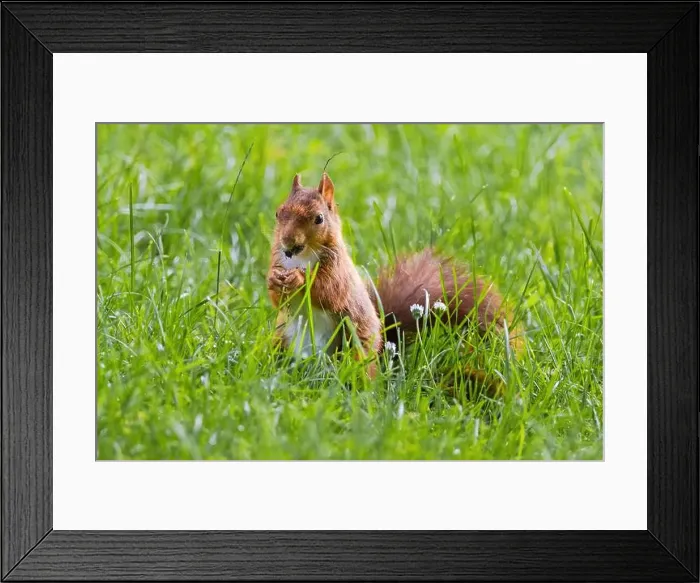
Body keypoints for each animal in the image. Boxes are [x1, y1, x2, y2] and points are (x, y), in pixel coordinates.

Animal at [267, 172, 524, 395]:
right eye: (278, 213)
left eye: (319, 219)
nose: (288, 244)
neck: (301, 258)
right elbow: (277, 299)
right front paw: (273, 279)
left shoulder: (337, 273)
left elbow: (327, 291)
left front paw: (300, 279)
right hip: (281, 339)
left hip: (354, 344)